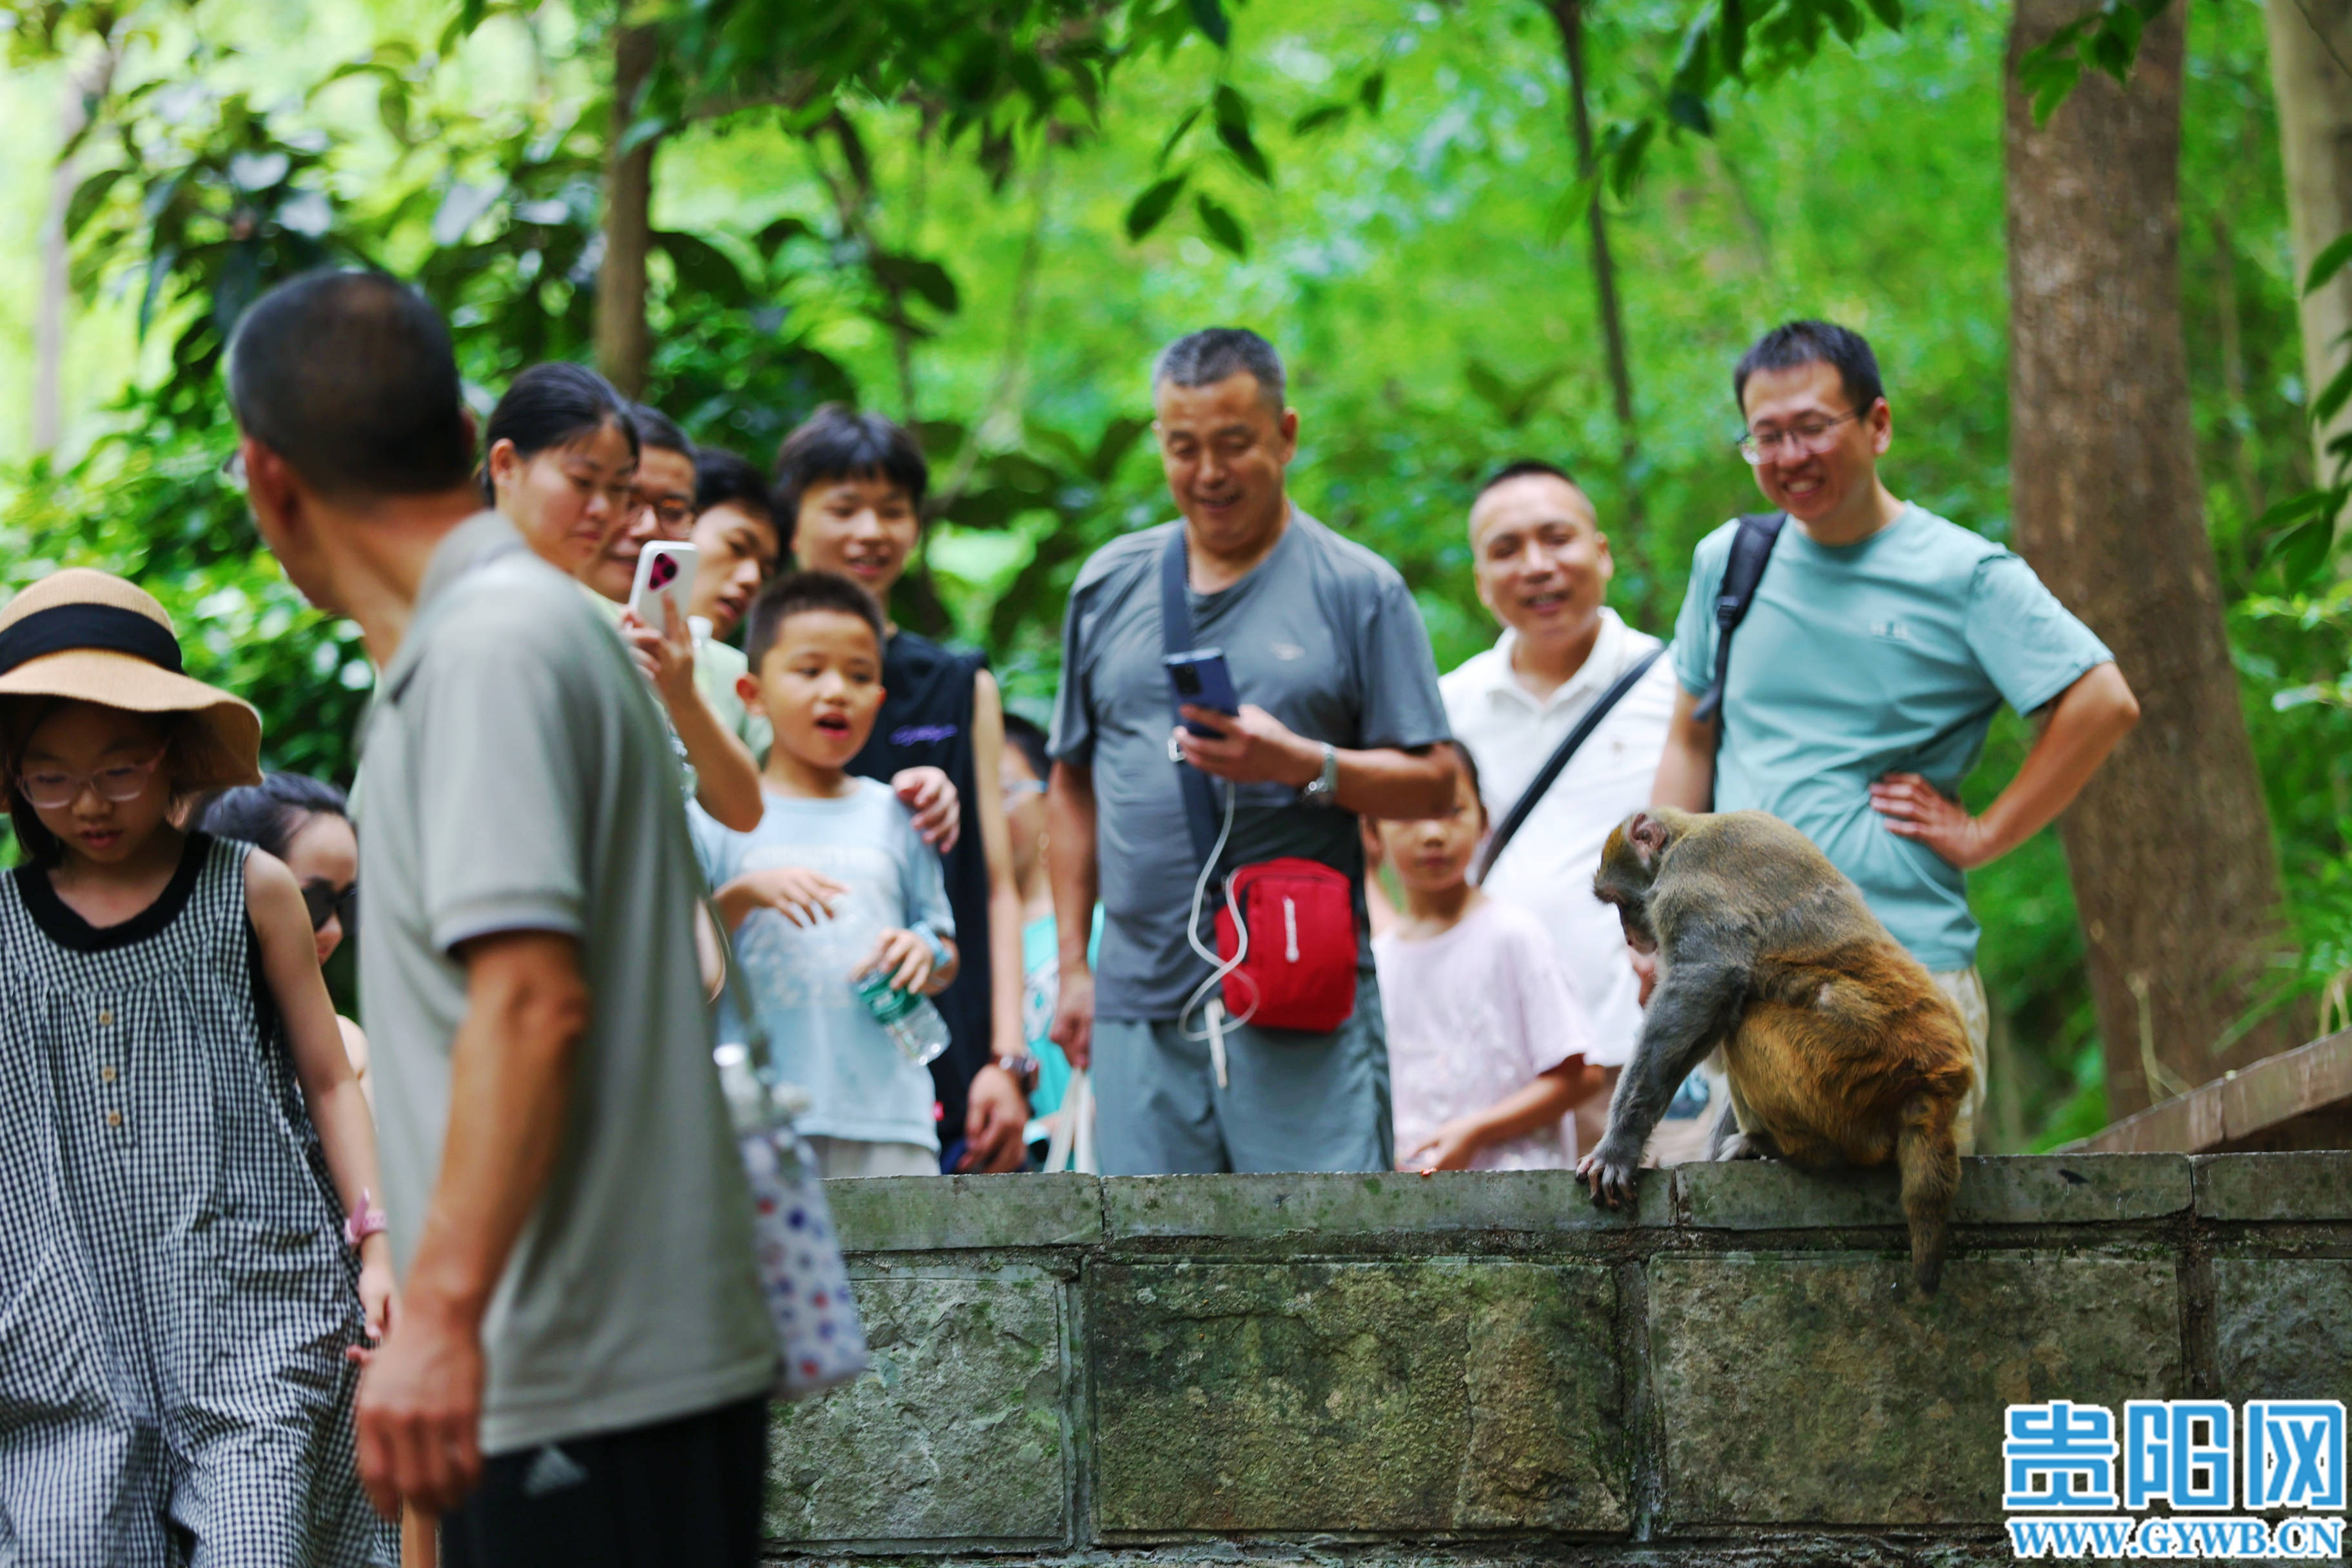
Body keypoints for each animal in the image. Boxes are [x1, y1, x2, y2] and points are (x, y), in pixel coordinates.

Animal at [1580, 803, 1966, 1297]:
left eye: (1622, 904)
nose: (1629, 938)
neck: (1689, 830)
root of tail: (1935, 1082)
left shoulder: (1688, 881)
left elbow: (1706, 981)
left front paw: (1617, 1150)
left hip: (1847, 1067)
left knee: (1745, 1022)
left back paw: (1789, 1149)